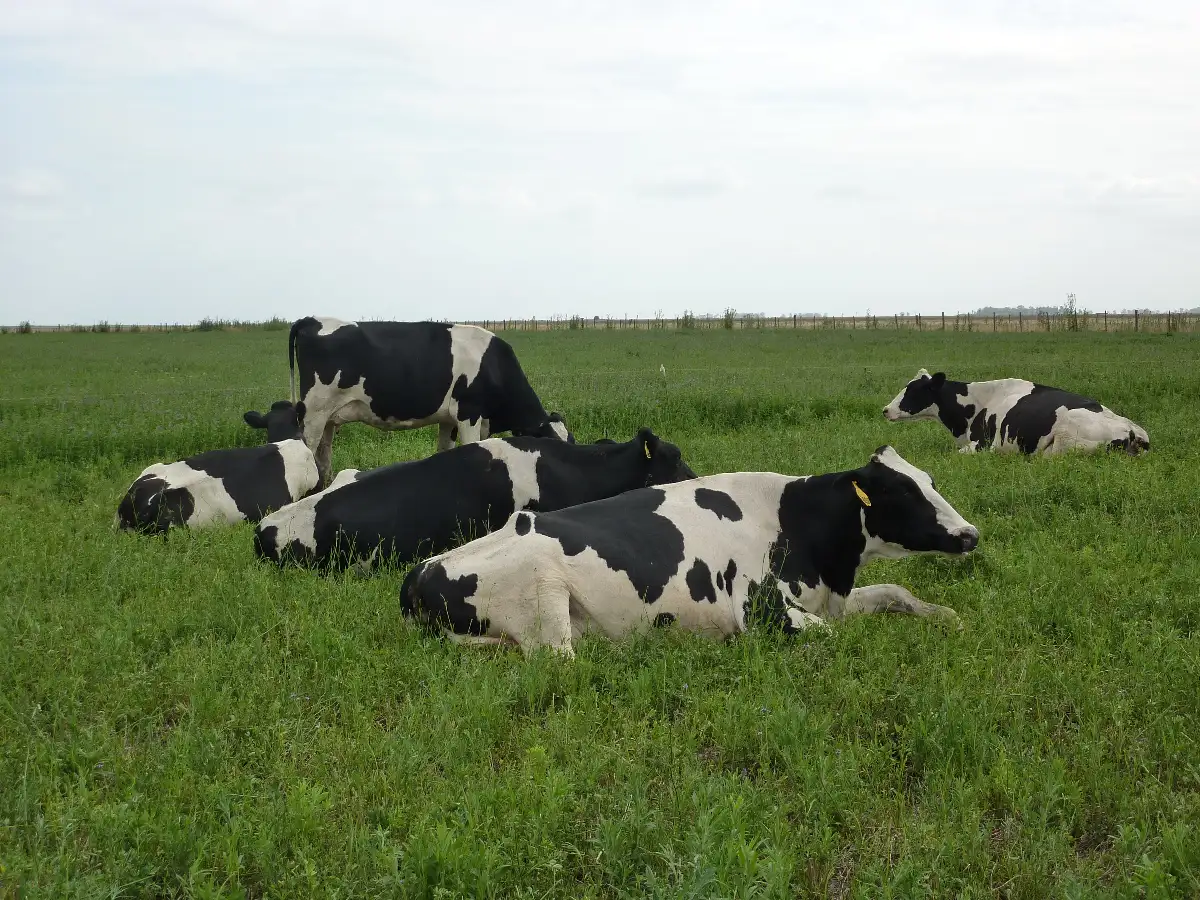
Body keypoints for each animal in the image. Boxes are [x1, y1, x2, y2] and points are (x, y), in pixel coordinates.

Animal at [289, 317, 573, 485]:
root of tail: (312, 319)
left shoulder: (450, 419)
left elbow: (445, 450)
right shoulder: (469, 413)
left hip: (328, 417)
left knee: (323, 457)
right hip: (313, 413)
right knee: (308, 451)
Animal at [399, 445, 979, 657]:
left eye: (929, 480)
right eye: (902, 492)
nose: (971, 534)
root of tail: (422, 571)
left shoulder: (829, 595)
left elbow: (896, 591)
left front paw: (947, 616)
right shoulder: (764, 611)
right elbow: (833, 637)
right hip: (544, 601)